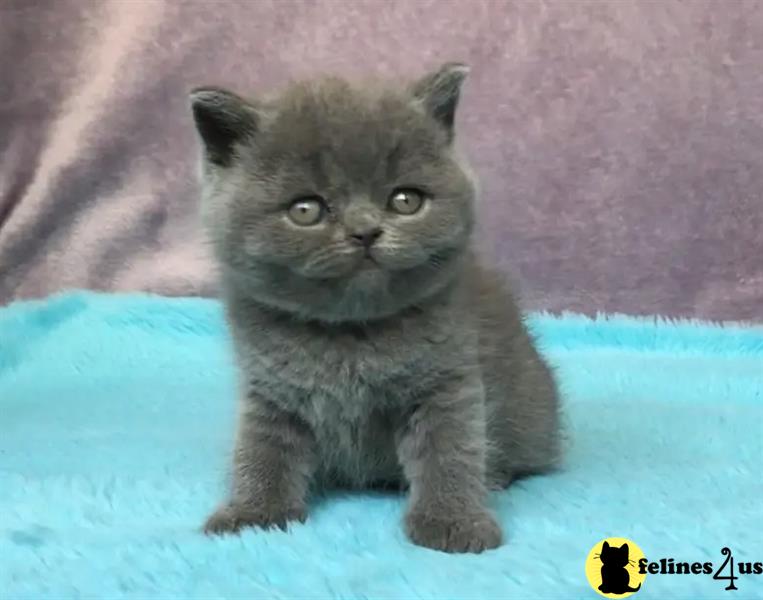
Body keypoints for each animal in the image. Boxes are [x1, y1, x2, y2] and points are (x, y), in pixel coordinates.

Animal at [191, 62, 560, 552]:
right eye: (305, 209)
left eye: (405, 200)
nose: (365, 231)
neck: (349, 334)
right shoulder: (270, 390)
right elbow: (261, 448)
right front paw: (252, 514)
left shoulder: (447, 382)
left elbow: (451, 449)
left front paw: (453, 522)